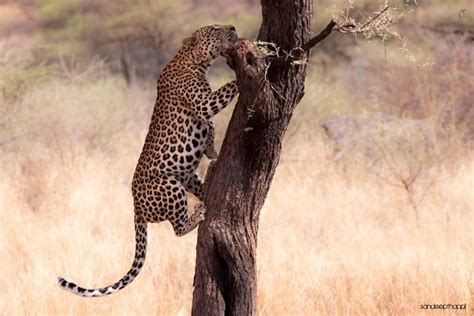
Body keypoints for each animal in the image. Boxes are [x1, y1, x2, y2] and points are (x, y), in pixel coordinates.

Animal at [57, 24, 239, 296]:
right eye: (215, 28)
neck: (193, 60)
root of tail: (135, 207)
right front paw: (264, 62)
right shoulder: (203, 103)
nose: (233, 27)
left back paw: (210, 178)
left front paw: (211, 150)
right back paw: (197, 214)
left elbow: (210, 127)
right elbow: (225, 91)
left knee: (198, 190)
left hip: (186, 176)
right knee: (177, 228)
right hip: (168, 185)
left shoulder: (204, 109)